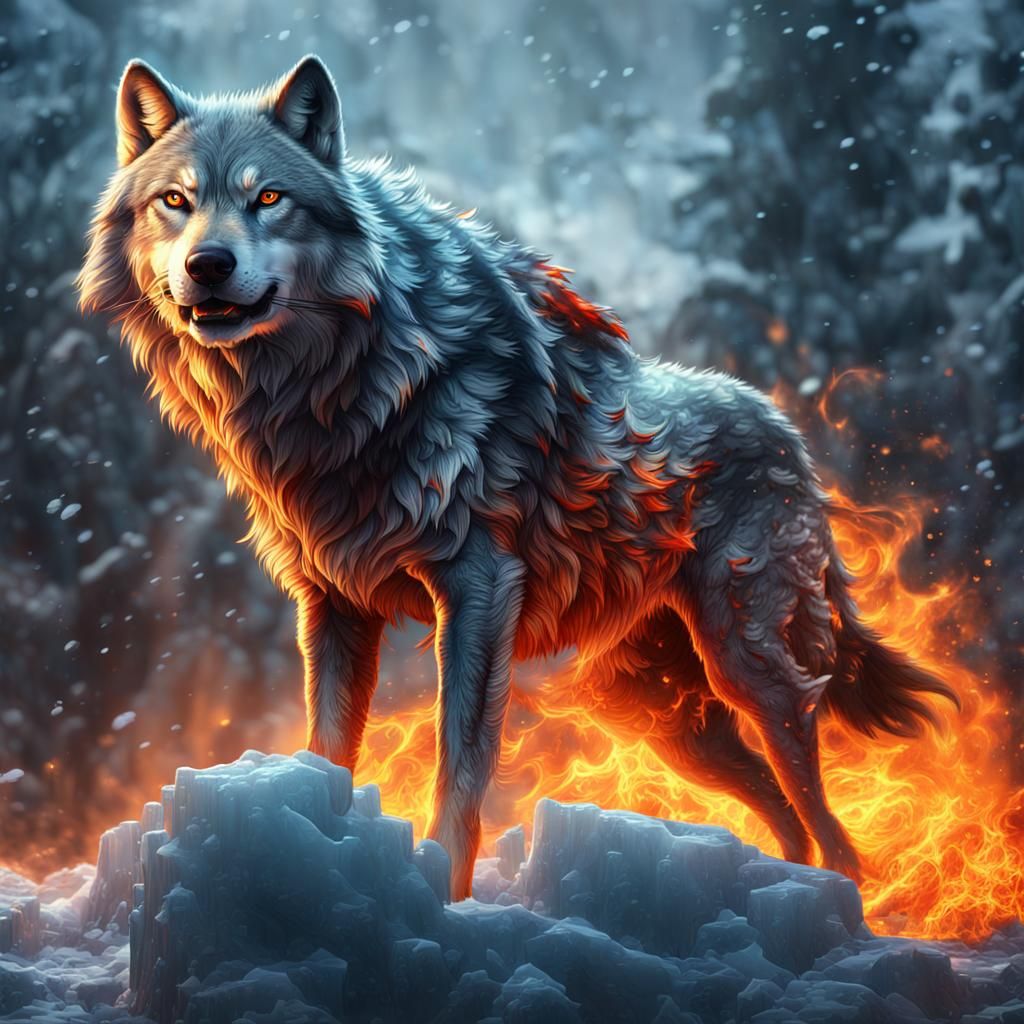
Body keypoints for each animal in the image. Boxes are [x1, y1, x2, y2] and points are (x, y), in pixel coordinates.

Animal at [79, 55, 957, 896]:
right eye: (175, 201)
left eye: (268, 198)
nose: (209, 264)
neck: (335, 395)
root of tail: (788, 433)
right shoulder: (331, 602)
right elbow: (327, 750)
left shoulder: (477, 587)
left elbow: (461, 773)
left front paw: (444, 890)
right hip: (663, 717)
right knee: (786, 815)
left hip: (749, 667)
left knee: (826, 819)